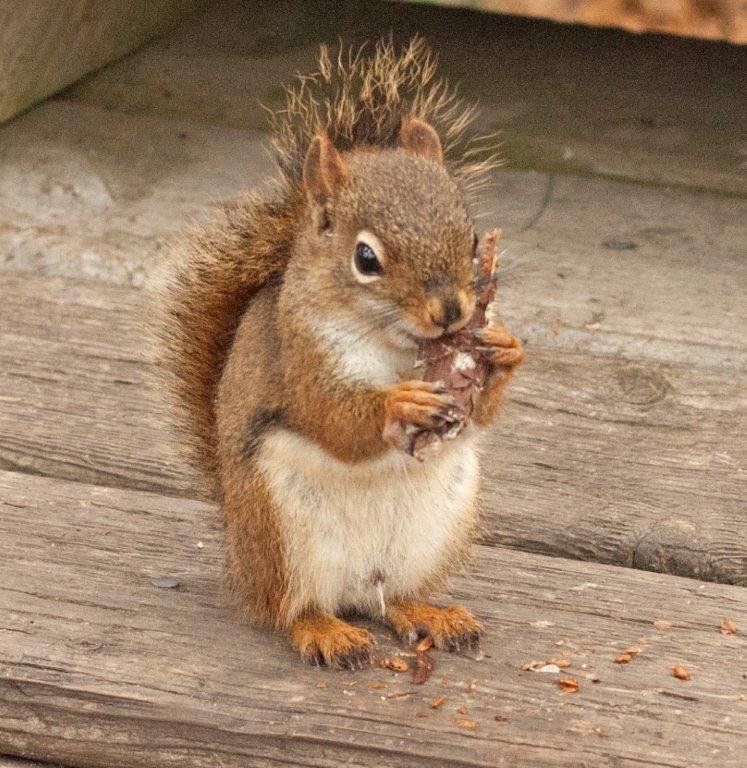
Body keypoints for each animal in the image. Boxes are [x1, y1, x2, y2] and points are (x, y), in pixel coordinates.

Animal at [156, 38, 524, 669]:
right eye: (366, 259)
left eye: (471, 236)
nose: (452, 312)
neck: (399, 346)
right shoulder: (300, 356)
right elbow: (333, 420)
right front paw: (398, 404)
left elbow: (483, 409)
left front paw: (505, 348)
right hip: (279, 526)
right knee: (291, 607)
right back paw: (325, 631)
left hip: (437, 526)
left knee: (392, 598)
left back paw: (430, 613)